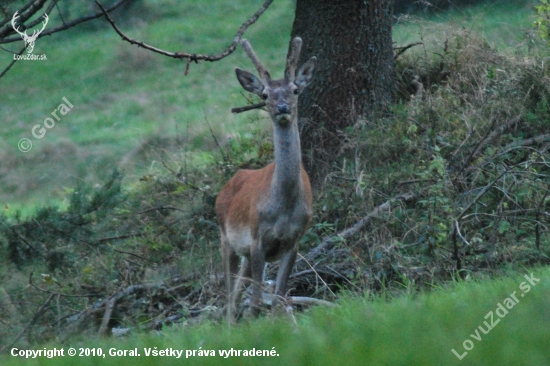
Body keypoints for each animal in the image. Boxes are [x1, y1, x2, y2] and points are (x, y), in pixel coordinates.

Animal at [217, 35, 320, 318]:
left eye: (295, 89)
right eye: (264, 95)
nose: (282, 107)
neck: (283, 208)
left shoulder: (294, 241)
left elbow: (279, 299)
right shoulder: (257, 238)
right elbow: (255, 303)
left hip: (244, 252)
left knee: (236, 294)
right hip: (226, 238)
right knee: (229, 298)